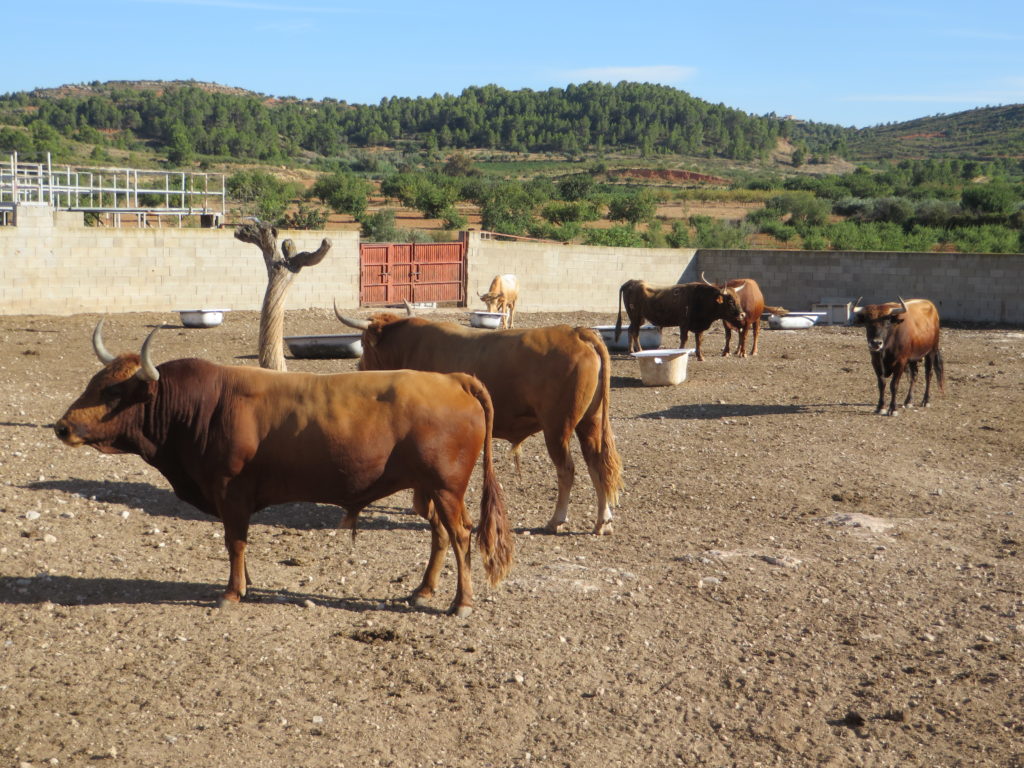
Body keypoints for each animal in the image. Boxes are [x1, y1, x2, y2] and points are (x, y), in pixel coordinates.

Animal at [51, 321, 512, 618]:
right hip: (427, 490)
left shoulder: (231, 492)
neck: (204, 406)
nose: (62, 426)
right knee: (439, 533)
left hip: (447, 487)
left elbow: (235, 542)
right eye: (94, 382)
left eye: (113, 393)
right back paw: (423, 590)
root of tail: (452, 379)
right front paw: (245, 583)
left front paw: (232, 592)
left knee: (460, 535)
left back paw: (460, 603)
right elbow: (238, 545)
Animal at [337, 307, 622, 536]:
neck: (411, 346)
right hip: (590, 421)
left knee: (567, 470)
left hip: (557, 427)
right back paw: (603, 521)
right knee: (597, 464)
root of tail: (576, 332)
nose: (359, 367)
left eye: (365, 344)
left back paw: (557, 520)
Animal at [610, 274, 749, 362]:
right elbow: (684, 340)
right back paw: (639, 351)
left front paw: (700, 356)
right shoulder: (684, 324)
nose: (742, 314)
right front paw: (680, 354)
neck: (700, 299)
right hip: (636, 316)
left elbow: (699, 341)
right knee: (635, 332)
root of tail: (631, 282)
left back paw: (631, 351)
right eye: (730, 301)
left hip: (638, 318)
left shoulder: (699, 326)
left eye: (738, 299)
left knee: (630, 330)